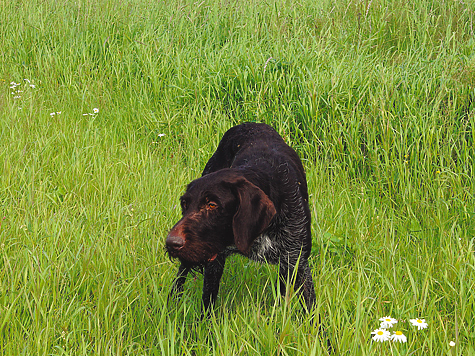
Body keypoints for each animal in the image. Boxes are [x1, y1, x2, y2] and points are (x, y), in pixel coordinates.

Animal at [166, 122, 320, 314]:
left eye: (212, 205)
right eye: (185, 204)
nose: (171, 243)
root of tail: (251, 124)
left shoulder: (297, 261)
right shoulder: (215, 260)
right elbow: (208, 303)